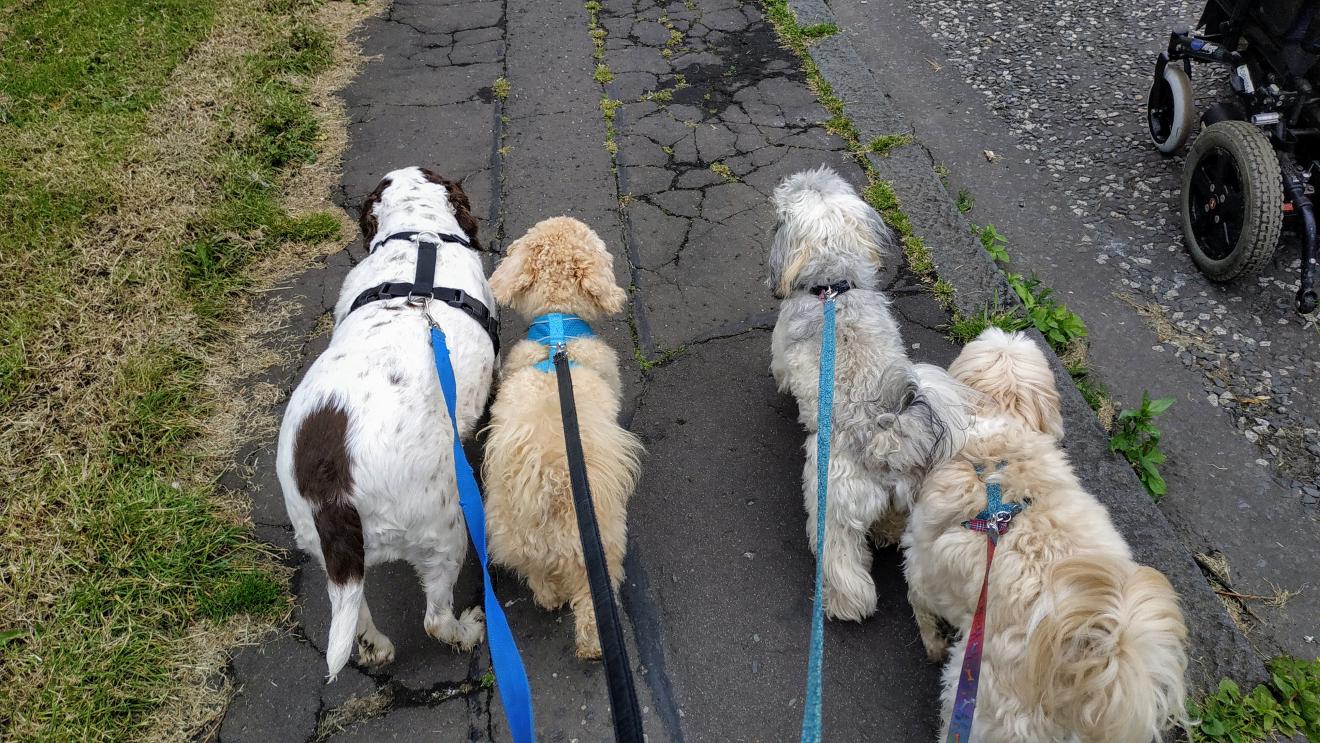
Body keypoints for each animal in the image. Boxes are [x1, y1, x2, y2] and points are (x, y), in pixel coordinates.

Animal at [273, 168, 496, 680]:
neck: (419, 238)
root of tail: (333, 489)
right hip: (444, 528)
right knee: (435, 618)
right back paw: (468, 630)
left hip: (329, 553)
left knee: (353, 613)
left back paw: (376, 648)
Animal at [480, 217, 644, 659]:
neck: (558, 333)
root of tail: (547, 483)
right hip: (600, 546)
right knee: (590, 603)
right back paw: (594, 647)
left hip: (516, 542)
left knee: (540, 582)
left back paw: (548, 598)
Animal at [765, 166, 971, 622]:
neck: (832, 289)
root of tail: (887, 441)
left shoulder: (781, 351)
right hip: (906, 501)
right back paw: (887, 535)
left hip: (830, 500)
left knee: (843, 560)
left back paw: (842, 603)